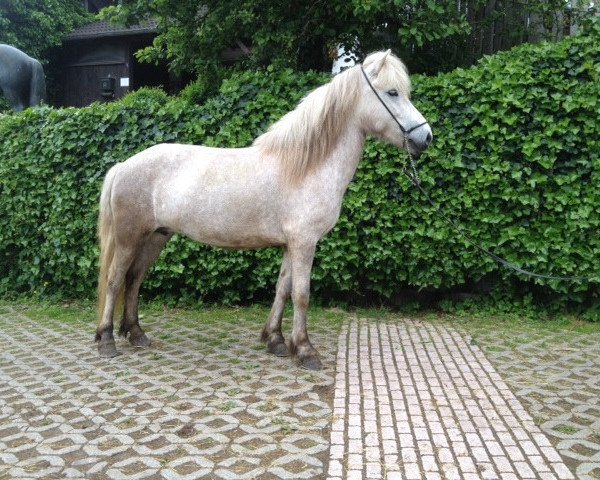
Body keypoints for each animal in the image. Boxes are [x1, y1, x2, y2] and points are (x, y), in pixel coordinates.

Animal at [95, 48, 432, 370]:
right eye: (392, 92)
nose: (425, 136)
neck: (305, 166)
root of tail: (123, 165)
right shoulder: (304, 243)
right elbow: (301, 294)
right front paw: (305, 351)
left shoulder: (291, 244)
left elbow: (282, 289)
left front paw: (276, 340)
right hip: (129, 238)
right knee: (115, 280)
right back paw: (107, 341)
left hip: (156, 237)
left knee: (134, 279)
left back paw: (136, 334)